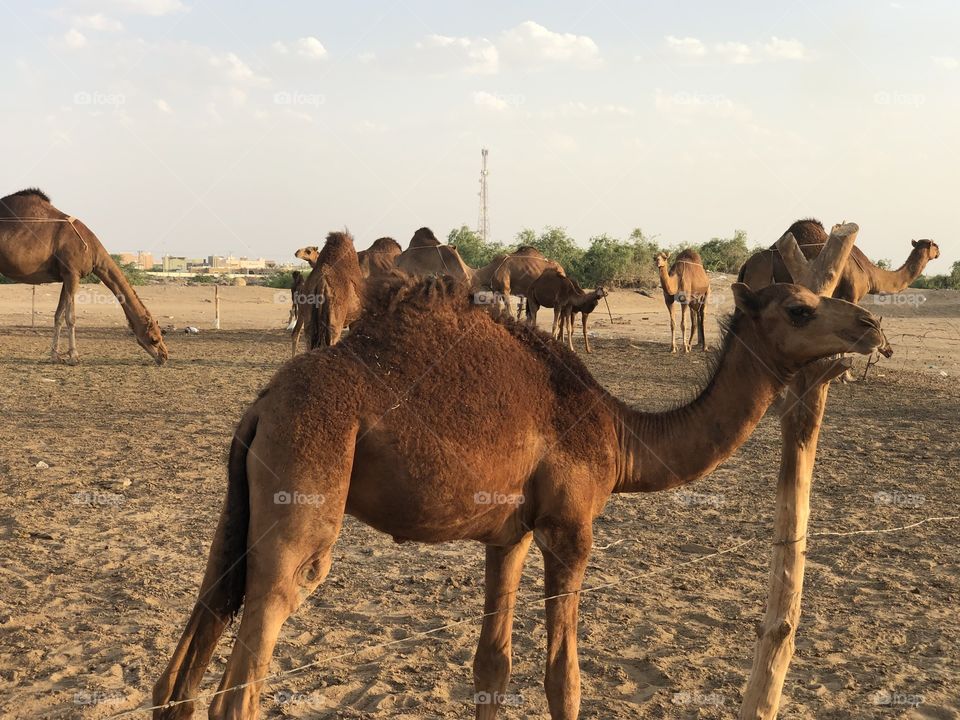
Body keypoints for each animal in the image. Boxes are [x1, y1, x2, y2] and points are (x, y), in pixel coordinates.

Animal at [0, 188, 168, 365]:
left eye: (160, 335)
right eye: (154, 339)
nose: (164, 356)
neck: (93, 251)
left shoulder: (66, 276)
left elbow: (58, 316)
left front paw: (55, 356)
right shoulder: (73, 273)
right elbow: (71, 317)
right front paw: (74, 356)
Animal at [153, 273, 891, 720]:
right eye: (800, 307)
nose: (872, 326)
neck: (620, 434)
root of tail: (262, 404)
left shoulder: (507, 534)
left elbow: (493, 666)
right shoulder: (570, 528)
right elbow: (563, 678)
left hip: (242, 502)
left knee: (188, 655)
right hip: (305, 489)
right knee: (244, 672)